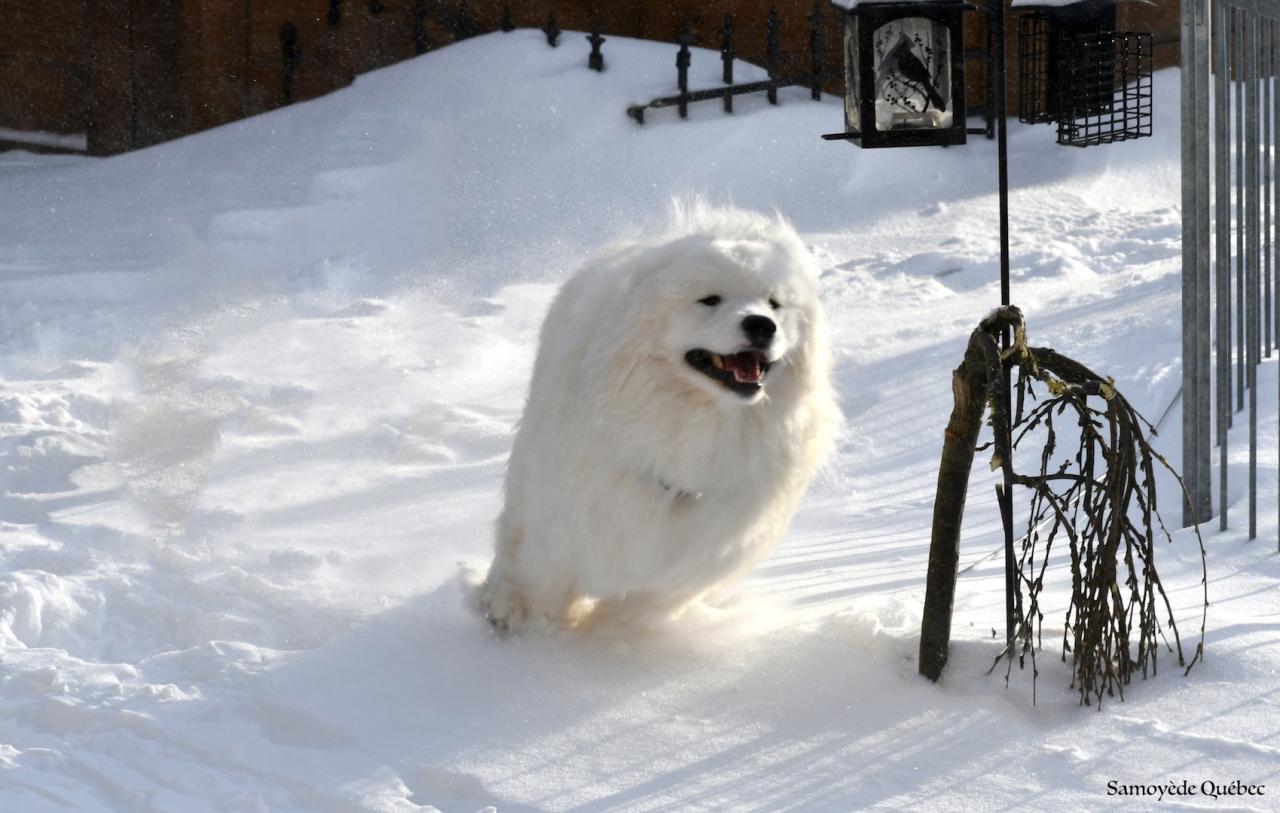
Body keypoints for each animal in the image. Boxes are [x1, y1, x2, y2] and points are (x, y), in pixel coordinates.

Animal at [481, 202, 839, 629]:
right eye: (710, 300)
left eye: (774, 304)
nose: (761, 324)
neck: (699, 423)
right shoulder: (563, 529)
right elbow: (542, 586)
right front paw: (538, 633)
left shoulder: (691, 563)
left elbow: (642, 604)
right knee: (512, 531)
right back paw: (500, 600)